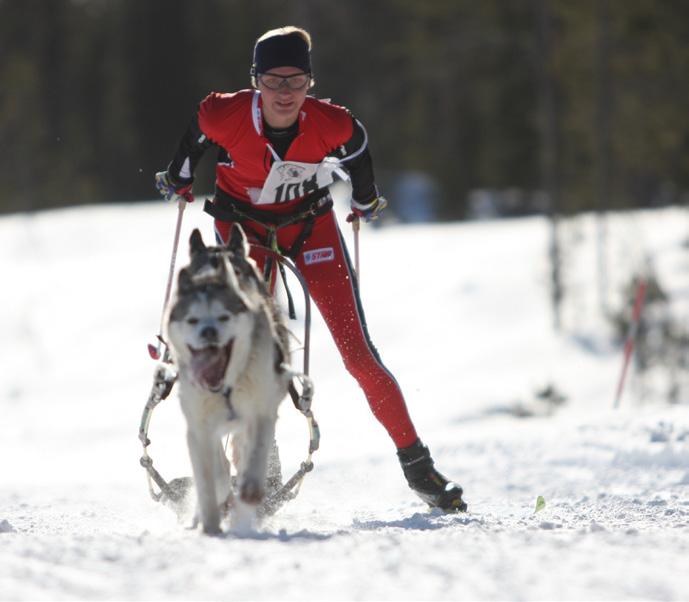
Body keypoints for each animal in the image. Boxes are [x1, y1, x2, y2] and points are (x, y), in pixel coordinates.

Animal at [166, 224, 290, 528]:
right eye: (192, 319)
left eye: (223, 317)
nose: (209, 332)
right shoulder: (200, 424)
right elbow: (214, 474)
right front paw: (209, 515)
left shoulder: (261, 411)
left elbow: (254, 454)